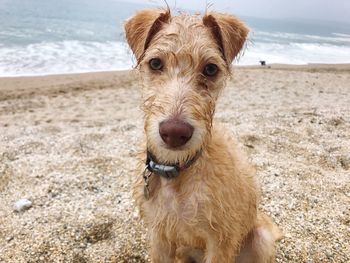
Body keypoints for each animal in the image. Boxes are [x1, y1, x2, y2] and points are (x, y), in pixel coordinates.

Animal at [124, 8, 280, 263]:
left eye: (210, 68)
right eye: (155, 63)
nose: (174, 133)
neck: (178, 171)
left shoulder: (221, 241)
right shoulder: (159, 236)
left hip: (261, 240)